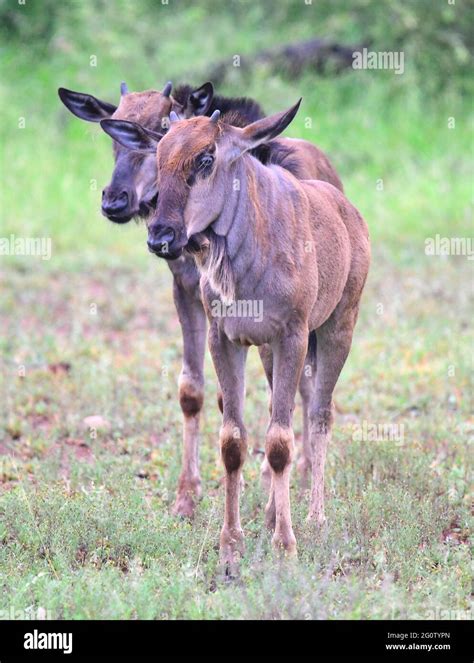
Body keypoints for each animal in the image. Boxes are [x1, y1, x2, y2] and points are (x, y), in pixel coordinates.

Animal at [59, 81, 344, 520]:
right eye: (116, 132)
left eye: (162, 124)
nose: (115, 200)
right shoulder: (187, 294)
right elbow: (193, 391)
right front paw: (186, 495)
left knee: (302, 390)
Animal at [122, 102, 370, 572]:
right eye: (158, 157)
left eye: (206, 158)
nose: (161, 236)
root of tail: (349, 211)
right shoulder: (226, 339)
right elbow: (234, 441)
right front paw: (230, 543)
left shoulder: (293, 336)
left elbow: (280, 442)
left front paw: (286, 546)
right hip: (270, 352)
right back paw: (273, 512)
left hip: (337, 328)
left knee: (319, 414)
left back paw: (315, 517)